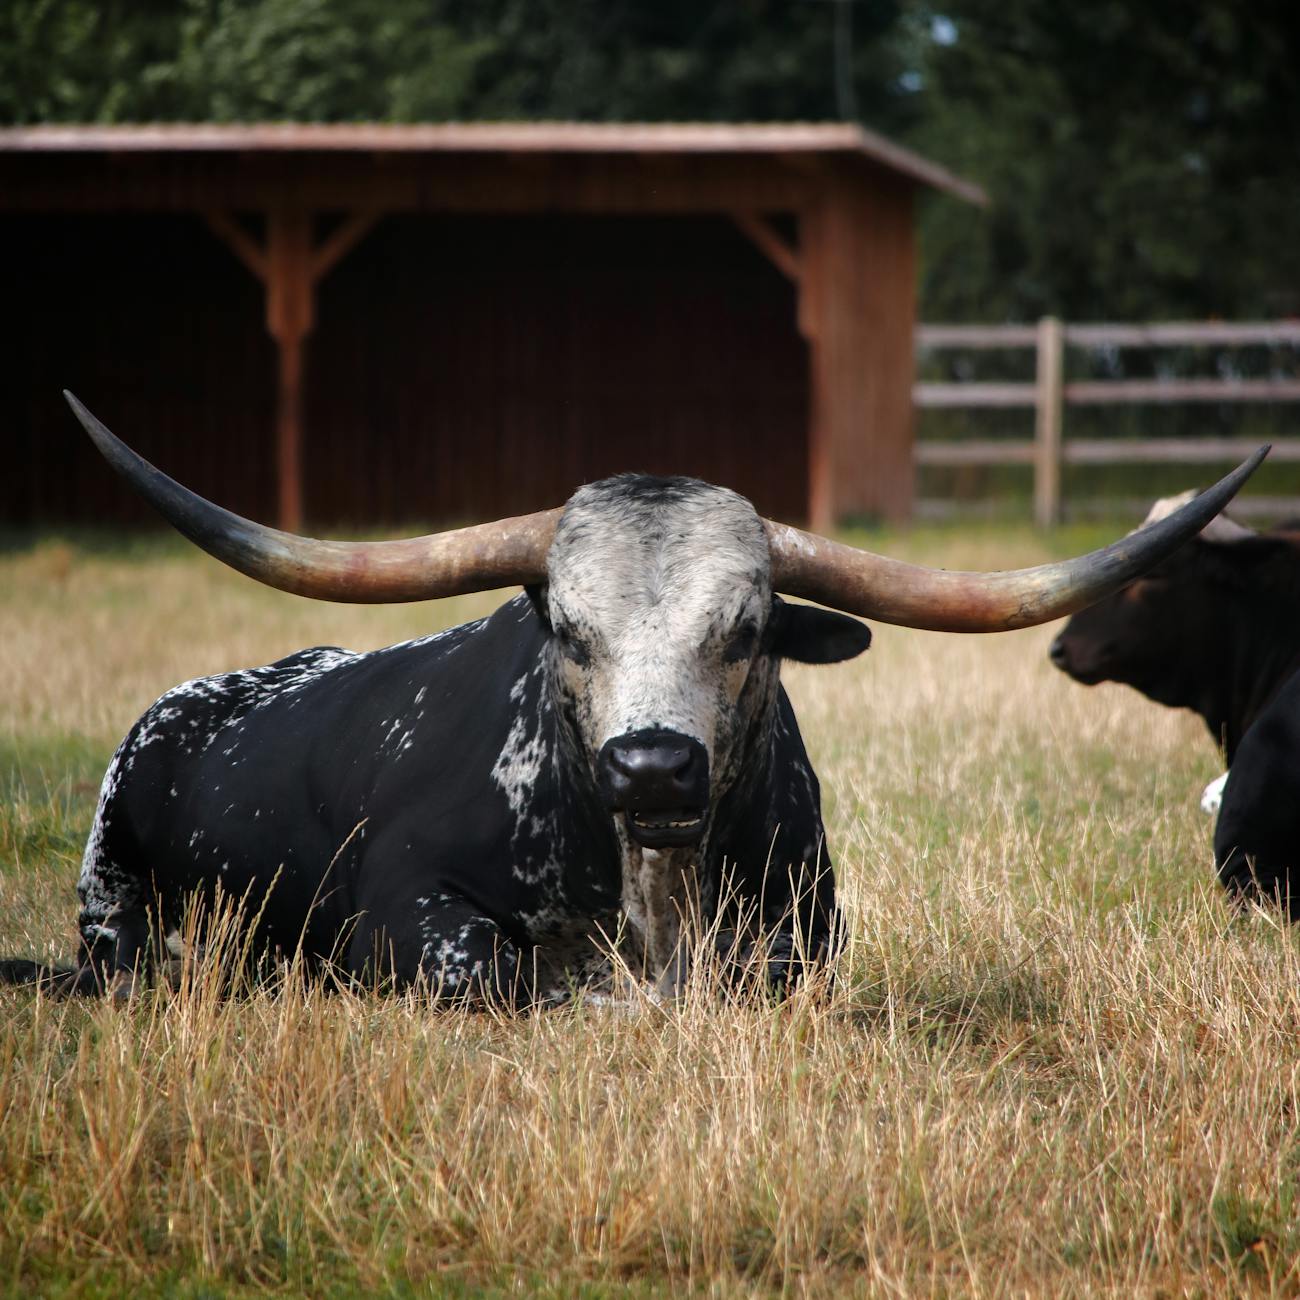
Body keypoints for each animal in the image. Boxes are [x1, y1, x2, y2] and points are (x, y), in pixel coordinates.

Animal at [0, 395, 1265, 1003]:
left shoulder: (803, 934)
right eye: (567, 628)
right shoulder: (405, 909)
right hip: (114, 918)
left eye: (748, 629)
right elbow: (506, 977)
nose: (651, 764)